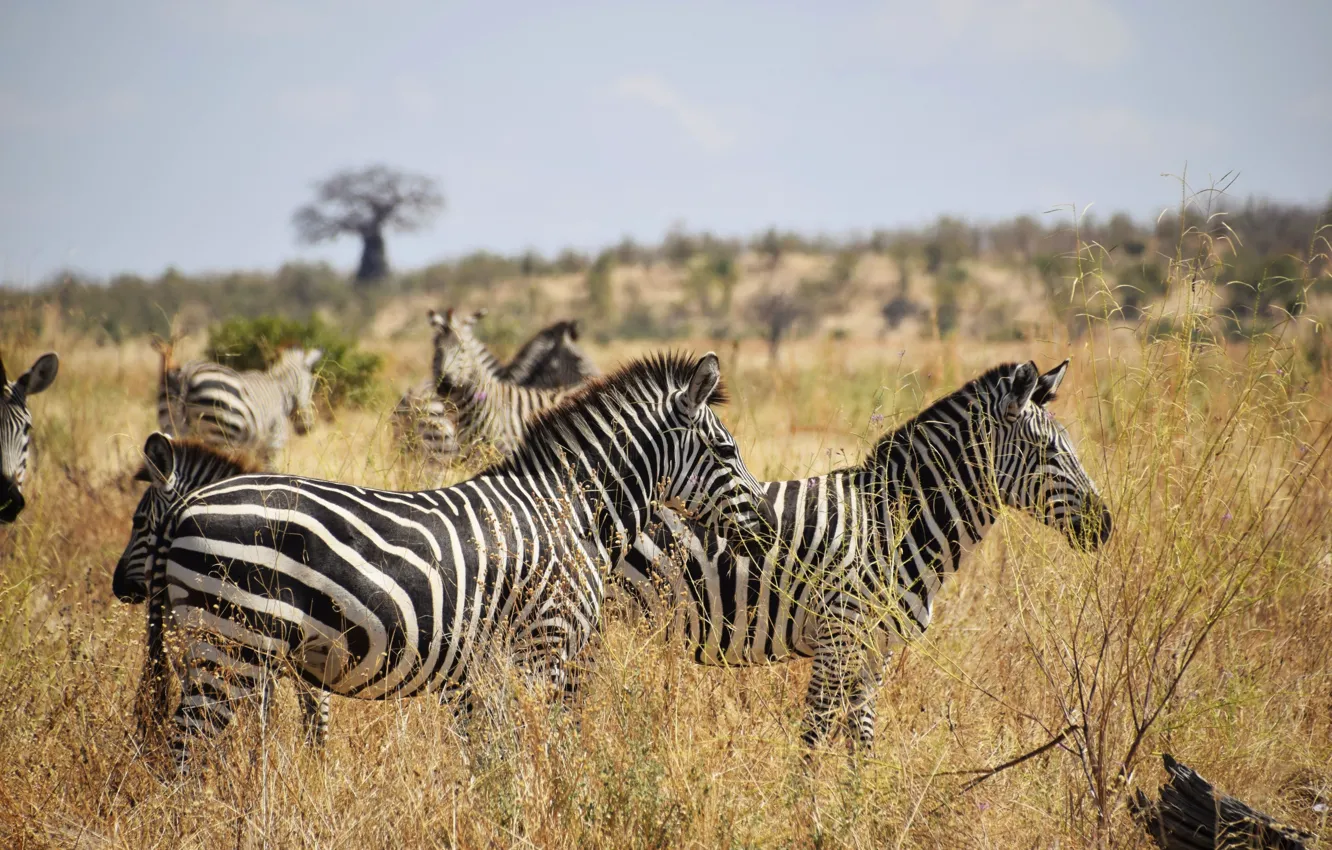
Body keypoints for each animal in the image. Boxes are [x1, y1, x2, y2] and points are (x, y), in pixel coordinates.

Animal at [160, 347, 323, 462]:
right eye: (311, 385)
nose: (307, 428)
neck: (281, 390)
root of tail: (186, 375)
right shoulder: (272, 444)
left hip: (172, 426)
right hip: (220, 435)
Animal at [613, 360, 1113, 750]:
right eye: (1046, 450)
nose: (1105, 526)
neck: (888, 526)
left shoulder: (878, 650)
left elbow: (863, 737)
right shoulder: (838, 636)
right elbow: (815, 732)